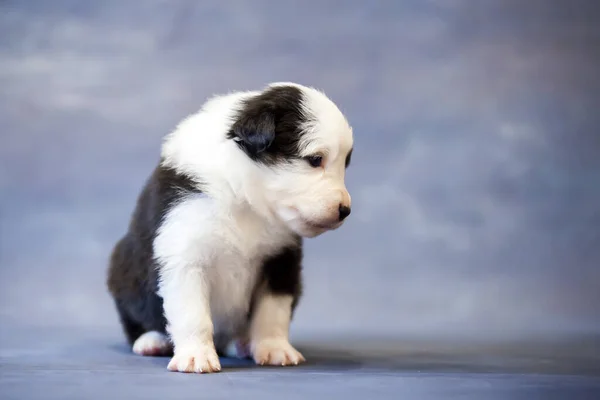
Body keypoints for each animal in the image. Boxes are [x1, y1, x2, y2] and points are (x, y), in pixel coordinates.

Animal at [106, 81, 354, 372]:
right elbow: (193, 315)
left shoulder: (281, 260)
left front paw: (275, 349)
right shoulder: (184, 254)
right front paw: (196, 355)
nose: (345, 210)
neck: (244, 202)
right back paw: (151, 341)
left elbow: (273, 312)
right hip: (123, 271)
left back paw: (242, 344)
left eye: (345, 164)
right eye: (315, 159)